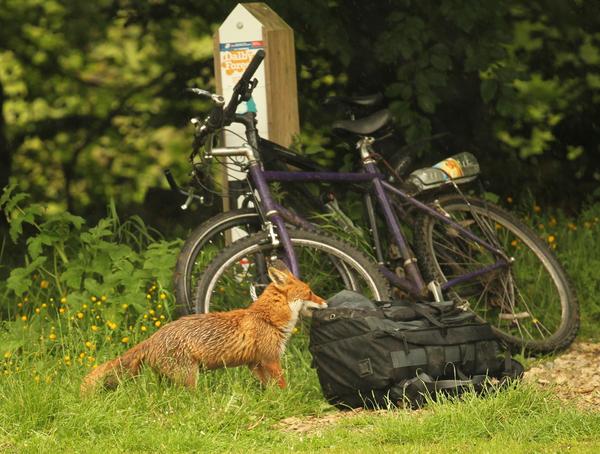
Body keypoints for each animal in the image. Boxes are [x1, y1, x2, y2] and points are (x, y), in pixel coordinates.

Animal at [80, 260, 328, 396]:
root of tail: (152, 338)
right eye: (309, 293)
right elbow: (282, 384)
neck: (267, 319)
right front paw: (287, 397)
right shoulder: (270, 359)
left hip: (170, 378)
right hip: (190, 376)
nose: (326, 302)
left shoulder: (255, 363)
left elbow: (268, 387)